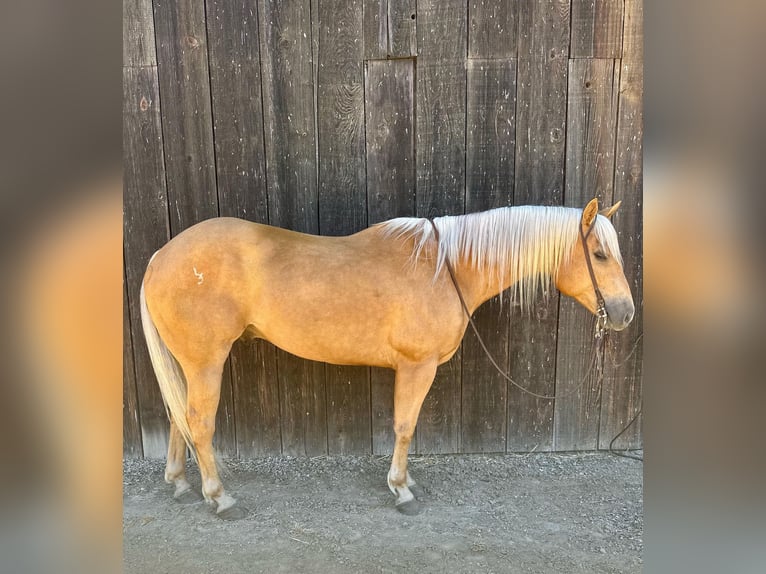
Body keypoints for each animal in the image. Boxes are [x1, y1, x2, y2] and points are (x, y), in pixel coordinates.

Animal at [141, 198, 632, 516]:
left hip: (189, 363)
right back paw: (219, 497)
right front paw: (401, 489)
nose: (625, 313)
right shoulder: (418, 365)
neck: (445, 268)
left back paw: (180, 483)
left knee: (179, 417)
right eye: (599, 253)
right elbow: (404, 425)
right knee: (199, 422)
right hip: (206, 361)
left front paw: (405, 481)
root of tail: (161, 256)